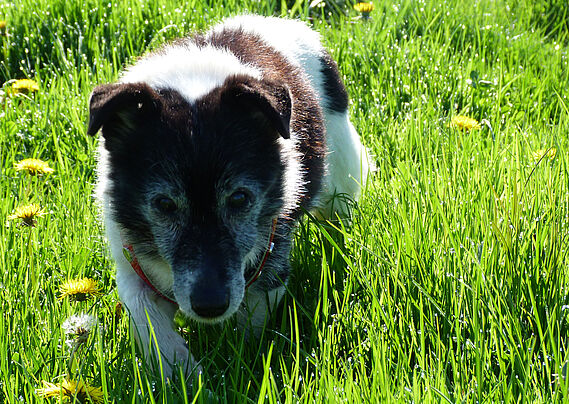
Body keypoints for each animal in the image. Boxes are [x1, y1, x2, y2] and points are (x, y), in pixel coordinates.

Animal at [85, 15, 368, 378]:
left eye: (239, 199)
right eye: (164, 204)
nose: (210, 306)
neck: (192, 83)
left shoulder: (271, 257)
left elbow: (252, 322)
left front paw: (241, 362)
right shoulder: (131, 263)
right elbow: (149, 321)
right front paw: (183, 375)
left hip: (340, 177)